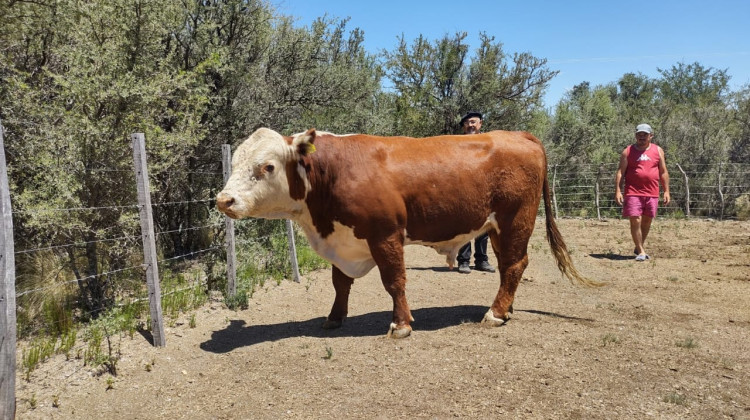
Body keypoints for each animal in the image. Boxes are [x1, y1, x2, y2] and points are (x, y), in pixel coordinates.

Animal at [216, 127, 600, 338]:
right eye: (233, 163)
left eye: (267, 166)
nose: (223, 199)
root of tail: (518, 134)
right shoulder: (342, 238)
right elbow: (340, 283)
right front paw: (334, 318)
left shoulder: (385, 234)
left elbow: (394, 280)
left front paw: (400, 324)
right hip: (495, 227)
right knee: (509, 266)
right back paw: (505, 309)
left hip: (515, 219)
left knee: (515, 264)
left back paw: (494, 313)